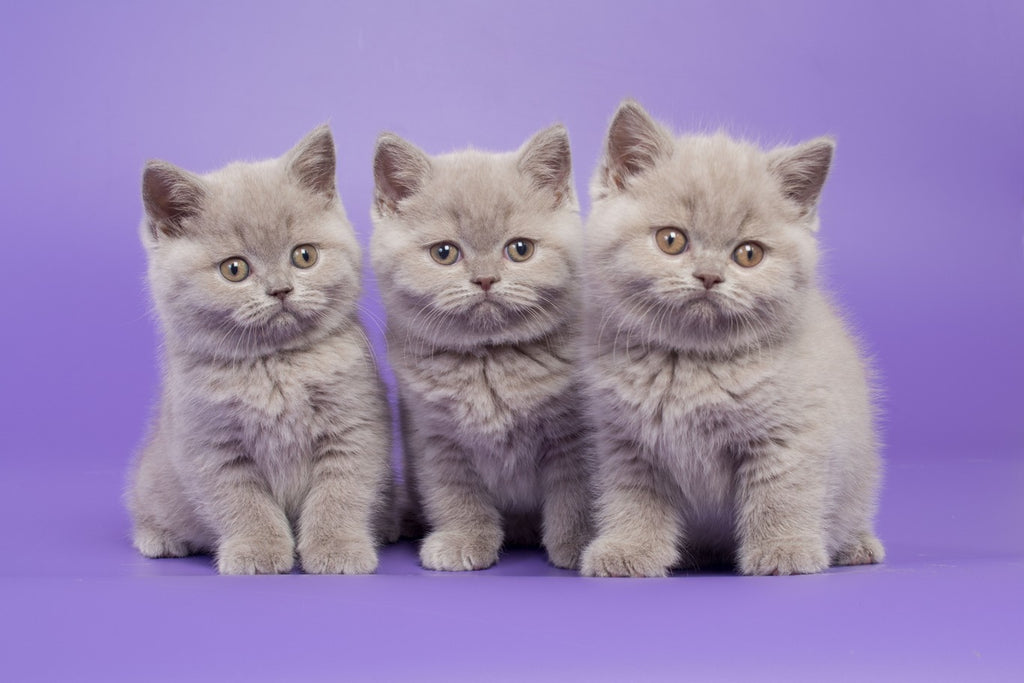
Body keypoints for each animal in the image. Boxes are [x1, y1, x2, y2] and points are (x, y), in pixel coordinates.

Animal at [130, 125, 393, 573]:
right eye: (234, 269)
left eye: (304, 256)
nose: (281, 289)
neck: (276, 366)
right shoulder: (210, 447)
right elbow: (242, 504)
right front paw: (258, 550)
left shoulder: (355, 427)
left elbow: (340, 494)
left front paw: (336, 547)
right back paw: (159, 538)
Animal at [370, 124, 593, 573]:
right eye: (444, 252)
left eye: (520, 249)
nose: (486, 279)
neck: (488, 362)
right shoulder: (433, 436)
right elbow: (454, 493)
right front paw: (463, 539)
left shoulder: (574, 435)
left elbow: (574, 490)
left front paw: (577, 544)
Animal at [581, 101, 884, 577]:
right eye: (671, 240)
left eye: (748, 254)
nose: (709, 275)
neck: (689, 362)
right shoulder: (625, 444)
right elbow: (633, 499)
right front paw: (628, 548)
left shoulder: (788, 435)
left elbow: (782, 494)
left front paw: (784, 550)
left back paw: (857, 546)